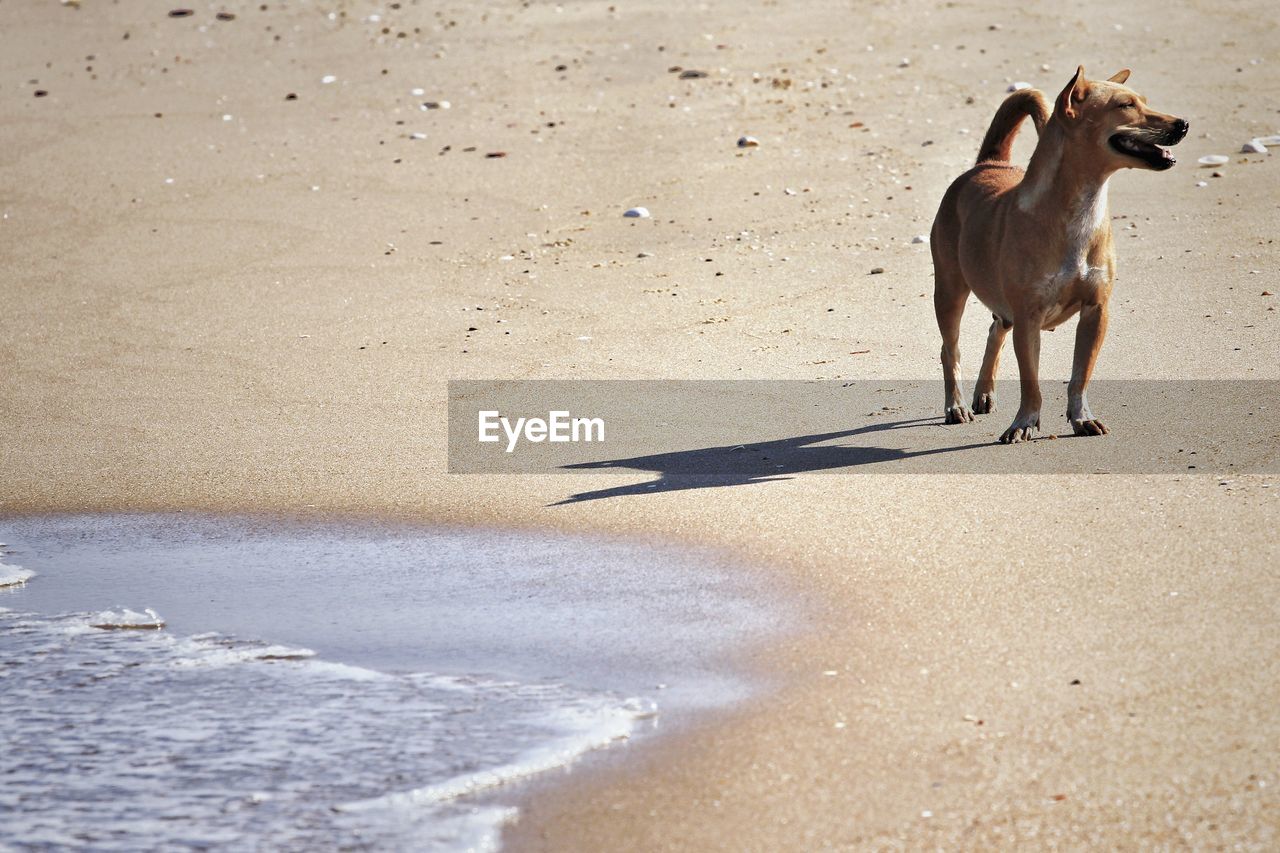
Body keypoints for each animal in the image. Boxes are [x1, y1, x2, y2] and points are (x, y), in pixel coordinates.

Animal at [931, 63, 1187, 440]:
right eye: (1125, 105)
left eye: (1144, 100)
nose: (1183, 124)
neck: (1080, 209)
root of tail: (989, 164)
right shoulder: (1028, 318)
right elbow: (1031, 382)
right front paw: (1024, 422)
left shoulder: (1096, 312)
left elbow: (1081, 375)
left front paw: (1081, 417)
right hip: (949, 291)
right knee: (951, 350)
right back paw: (956, 405)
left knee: (995, 330)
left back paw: (984, 392)